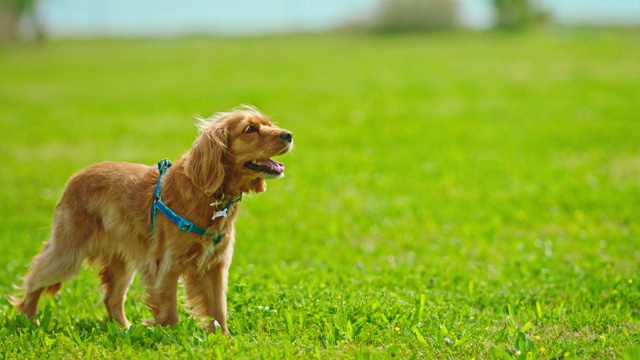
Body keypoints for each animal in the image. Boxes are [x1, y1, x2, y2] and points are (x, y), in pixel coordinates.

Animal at [10, 105, 292, 334]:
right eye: (250, 129)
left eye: (269, 124)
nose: (288, 135)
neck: (209, 195)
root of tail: (74, 178)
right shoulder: (166, 265)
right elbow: (170, 312)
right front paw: (171, 340)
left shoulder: (215, 266)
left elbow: (218, 310)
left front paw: (224, 339)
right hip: (68, 251)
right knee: (35, 275)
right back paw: (29, 318)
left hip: (122, 261)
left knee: (111, 299)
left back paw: (125, 329)